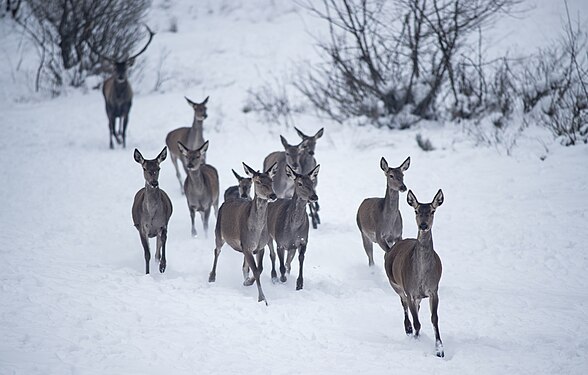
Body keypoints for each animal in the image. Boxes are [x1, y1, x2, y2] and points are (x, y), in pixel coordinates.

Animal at [131, 148, 172, 276]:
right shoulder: (142, 228)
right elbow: (146, 254)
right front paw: (147, 273)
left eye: (158, 168)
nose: (154, 183)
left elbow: (161, 245)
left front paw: (162, 266)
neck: (152, 215)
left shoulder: (163, 224)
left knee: (157, 250)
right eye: (144, 168)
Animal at [209, 162, 278, 306]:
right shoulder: (246, 245)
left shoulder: (259, 246)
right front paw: (262, 299)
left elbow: (259, 268)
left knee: (244, 266)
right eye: (258, 181)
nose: (273, 195)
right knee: (216, 250)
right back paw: (212, 277)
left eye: (271, 180)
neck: (256, 231)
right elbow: (256, 270)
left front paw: (248, 282)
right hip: (219, 232)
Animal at [384, 191, 444, 358]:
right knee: (404, 303)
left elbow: (434, 319)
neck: (422, 276)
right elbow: (417, 322)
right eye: (416, 211)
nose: (423, 225)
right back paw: (408, 329)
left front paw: (439, 349)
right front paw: (416, 341)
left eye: (432, 211)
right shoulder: (410, 290)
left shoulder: (434, 290)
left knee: (415, 307)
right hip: (395, 284)